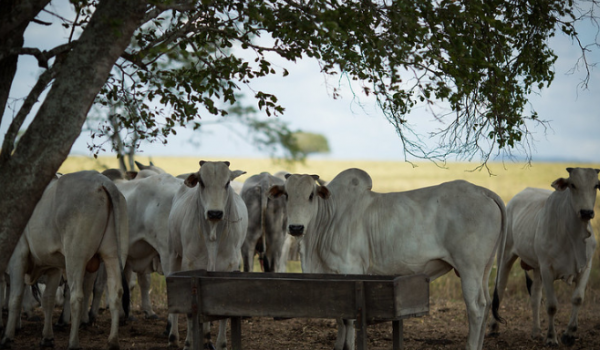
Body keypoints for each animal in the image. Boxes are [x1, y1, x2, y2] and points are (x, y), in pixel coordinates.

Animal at [0, 172, 127, 350]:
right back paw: (113, 341)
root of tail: (102, 182)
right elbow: (48, 300)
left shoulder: (18, 257)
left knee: (77, 297)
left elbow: (15, 297)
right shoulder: (54, 267)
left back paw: (73, 342)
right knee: (116, 293)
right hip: (113, 255)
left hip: (75, 257)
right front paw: (47, 337)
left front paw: (8, 336)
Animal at [168, 161, 247, 350]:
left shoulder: (229, 268)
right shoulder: (189, 267)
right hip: (172, 254)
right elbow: (190, 312)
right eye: (202, 182)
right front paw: (189, 344)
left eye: (227, 183)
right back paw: (173, 337)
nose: (215, 213)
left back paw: (207, 338)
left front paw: (221, 344)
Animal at [270, 168, 508, 348]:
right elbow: (339, 317)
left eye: (311, 195)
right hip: (484, 270)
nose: (296, 227)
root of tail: (483, 191)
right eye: (287, 195)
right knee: (487, 303)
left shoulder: (351, 271)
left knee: (476, 307)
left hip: (469, 269)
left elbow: (348, 320)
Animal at [490, 167, 596, 348]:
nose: (586, 212)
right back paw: (493, 327)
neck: (573, 235)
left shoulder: (585, 267)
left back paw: (536, 331)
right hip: (505, 257)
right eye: (573, 185)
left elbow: (578, 299)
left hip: (537, 267)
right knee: (500, 288)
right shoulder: (547, 268)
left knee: (535, 296)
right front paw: (551, 338)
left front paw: (569, 334)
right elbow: (552, 306)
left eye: (597, 185)